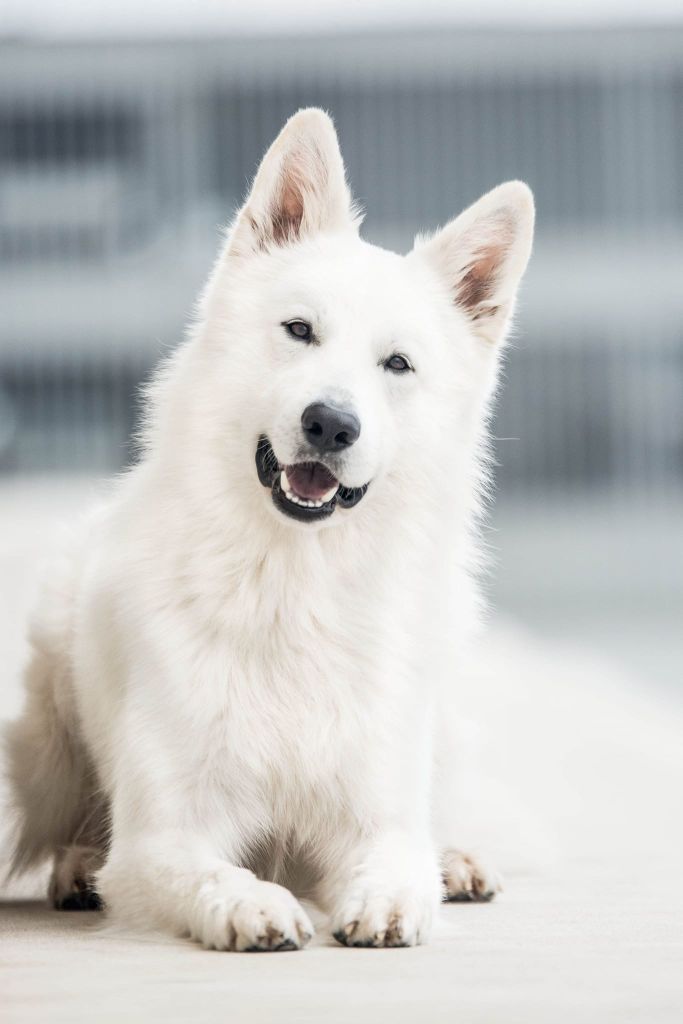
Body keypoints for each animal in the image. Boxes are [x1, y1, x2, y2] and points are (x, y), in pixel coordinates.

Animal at [3, 108, 532, 946]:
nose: (330, 424)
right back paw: (77, 866)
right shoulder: (164, 835)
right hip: (49, 727)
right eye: (299, 330)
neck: (294, 580)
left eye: (397, 364)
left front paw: (395, 897)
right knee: (72, 823)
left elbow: (396, 860)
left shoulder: (374, 813)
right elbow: (205, 873)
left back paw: (454, 859)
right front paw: (252, 904)